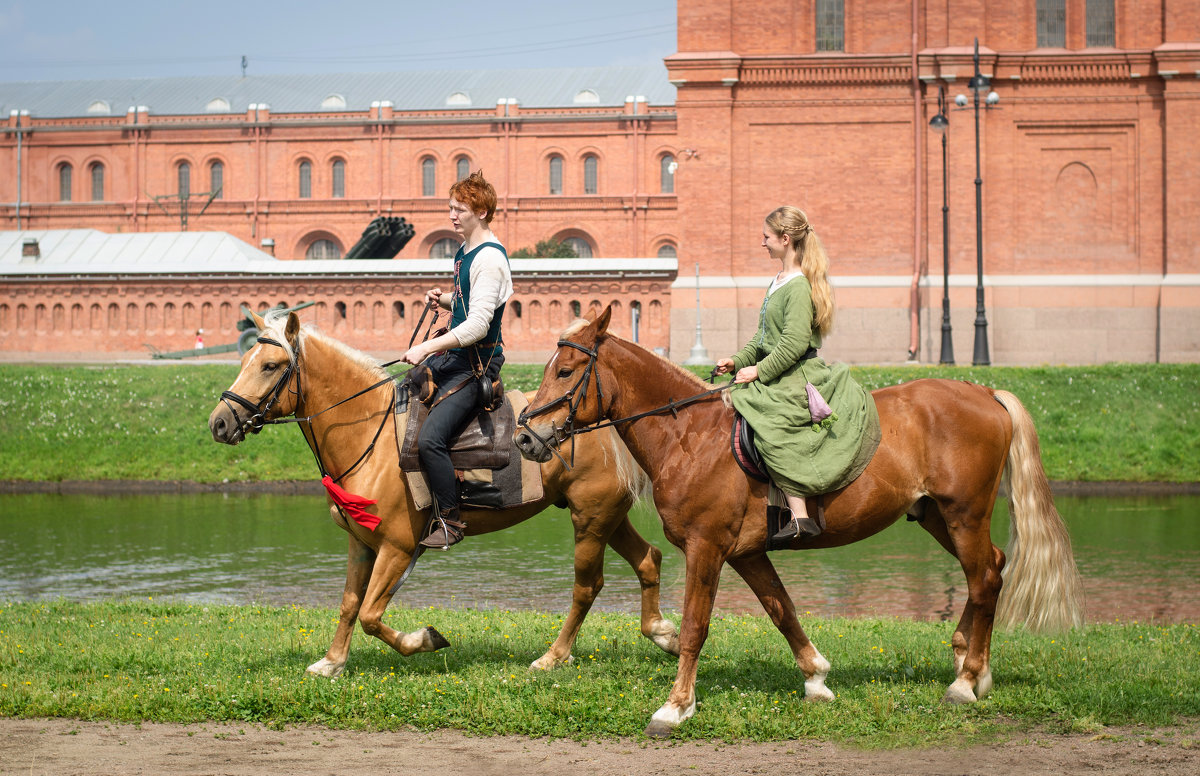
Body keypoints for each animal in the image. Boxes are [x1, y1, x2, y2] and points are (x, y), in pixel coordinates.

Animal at [210, 309, 681, 681]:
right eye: (245, 359)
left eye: (271, 365)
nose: (219, 422)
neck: (371, 434)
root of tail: (604, 422)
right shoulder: (361, 544)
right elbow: (349, 605)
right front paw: (332, 661)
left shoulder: (398, 548)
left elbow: (371, 615)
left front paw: (424, 639)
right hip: (608, 517)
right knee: (648, 559)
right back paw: (665, 635)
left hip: (590, 519)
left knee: (587, 586)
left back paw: (554, 656)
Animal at [516, 307, 1089, 738]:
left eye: (565, 372)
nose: (525, 436)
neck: (691, 435)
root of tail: (984, 391)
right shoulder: (747, 553)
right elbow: (782, 611)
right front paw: (815, 677)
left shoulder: (706, 548)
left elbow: (697, 627)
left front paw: (676, 707)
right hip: (937, 519)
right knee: (990, 569)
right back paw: (970, 659)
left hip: (964, 515)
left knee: (985, 578)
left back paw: (967, 681)